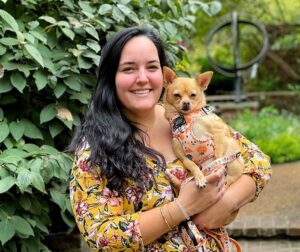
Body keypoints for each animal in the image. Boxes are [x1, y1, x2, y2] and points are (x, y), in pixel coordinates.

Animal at [164, 66, 244, 199]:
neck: (184, 121)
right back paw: (174, 179)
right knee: (184, 184)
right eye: (177, 95)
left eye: (193, 95)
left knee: (227, 178)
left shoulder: (218, 131)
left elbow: (218, 153)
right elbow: (193, 165)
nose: (186, 103)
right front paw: (200, 178)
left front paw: (218, 162)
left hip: (231, 151)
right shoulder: (184, 157)